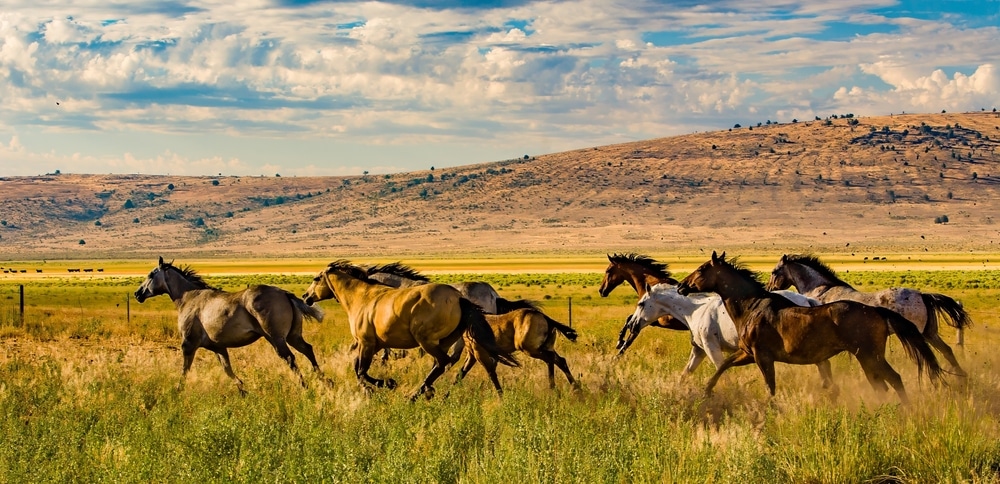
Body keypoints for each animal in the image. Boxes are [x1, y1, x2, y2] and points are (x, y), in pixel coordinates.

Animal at [135, 258, 324, 394]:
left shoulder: (188, 344)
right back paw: (325, 381)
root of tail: (284, 293)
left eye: (151, 275)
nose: (138, 294)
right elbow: (227, 369)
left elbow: (185, 370)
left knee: (290, 358)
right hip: (293, 336)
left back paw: (305, 387)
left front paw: (177, 391)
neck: (189, 298)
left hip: (276, 339)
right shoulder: (218, 347)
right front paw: (243, 390)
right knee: (308, 349)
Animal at [300, 260, 520, 400]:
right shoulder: (374, 342)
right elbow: (359, 366)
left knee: (453, 361)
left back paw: (423, 393)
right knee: (466, 362)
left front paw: (384, 385)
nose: (305, 296)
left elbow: (362, 369)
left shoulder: (367, 341)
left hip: (438, 339)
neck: (364, 296)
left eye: (316, 278)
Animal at [676, 251, 940, 402]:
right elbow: (723, 367)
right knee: (881, 385)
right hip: (866, 357)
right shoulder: (748, 353)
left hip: (869, 355)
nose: (681, 286)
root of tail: (877, 311)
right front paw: (707, 391)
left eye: (701, 269)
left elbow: (770, 386)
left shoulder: (762, 356)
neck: (752, 306)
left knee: (894, 380)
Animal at [764, 255, 968, 376]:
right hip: (929, 333)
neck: (821, 290)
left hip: (919, 334)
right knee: (947, 351)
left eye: (774, 271)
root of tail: (922, 295)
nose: (769, 289)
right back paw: (961, 379)